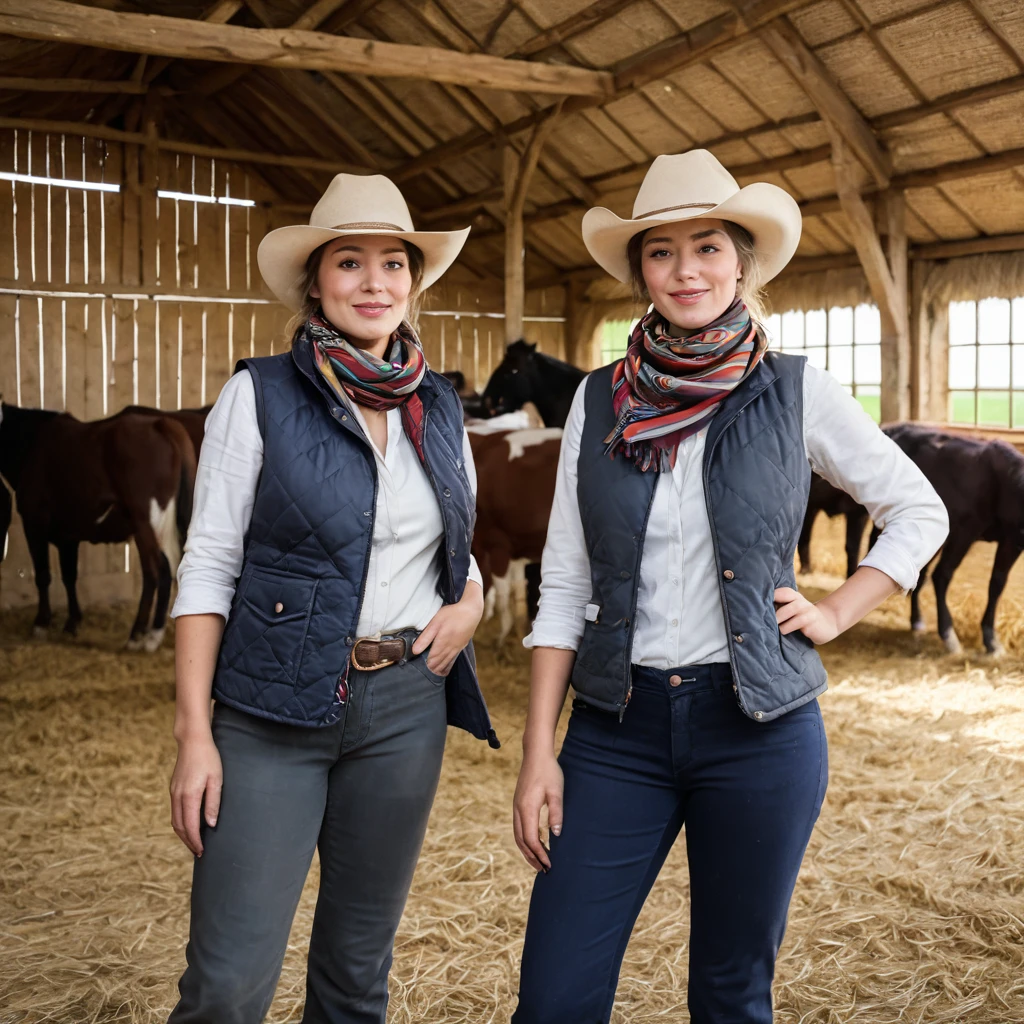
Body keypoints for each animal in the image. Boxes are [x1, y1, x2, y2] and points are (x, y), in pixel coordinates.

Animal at [0, 401, 195, 647]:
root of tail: (160, 424)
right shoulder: (68, 537)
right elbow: (69, 576)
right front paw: (72, 622)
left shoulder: (34, 523)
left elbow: (43, 575)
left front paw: (41, 623)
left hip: (148, 523)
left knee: (158, 570)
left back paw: (142, 634)